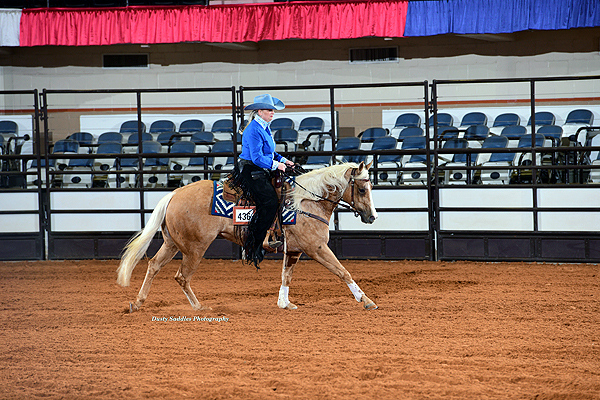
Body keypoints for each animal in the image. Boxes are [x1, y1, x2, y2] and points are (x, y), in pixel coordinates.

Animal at [116, 161, 378, 310]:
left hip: (172, 244)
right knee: (181, 276)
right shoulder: (316, 248)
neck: (306, 201)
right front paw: (366, 301)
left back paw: (137, 303)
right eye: (361, 189)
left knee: (153, 265)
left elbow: (286, 276)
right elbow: (343, 271)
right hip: (194, 248)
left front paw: (284, 303)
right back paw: (199, 307)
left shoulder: (294, 249)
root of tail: (174, 194)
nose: (372, 217)